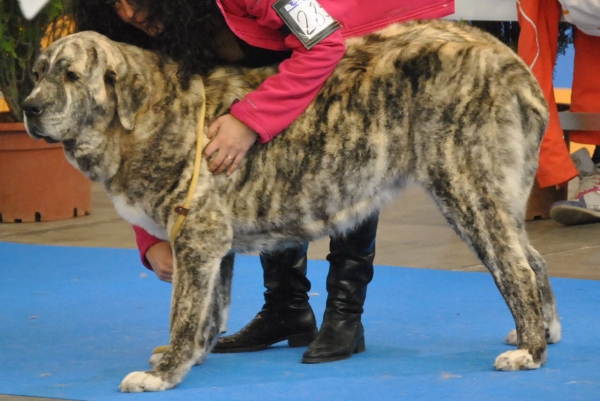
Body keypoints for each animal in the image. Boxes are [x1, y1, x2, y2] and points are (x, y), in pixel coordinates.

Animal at [22, 19, 556, 390]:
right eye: (37, 74)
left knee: (515, 270)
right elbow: (209, 311)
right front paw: (192, 356)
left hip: (466, 188)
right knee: (534, 260)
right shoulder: (214, 245)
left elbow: (184, 311)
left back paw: (529, 352)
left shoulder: (197, 237)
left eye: (70, 75)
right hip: (496, 196)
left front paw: (166, 373)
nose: (27, 108)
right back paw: (543, 334)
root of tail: (507, 59)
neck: (146, 116)